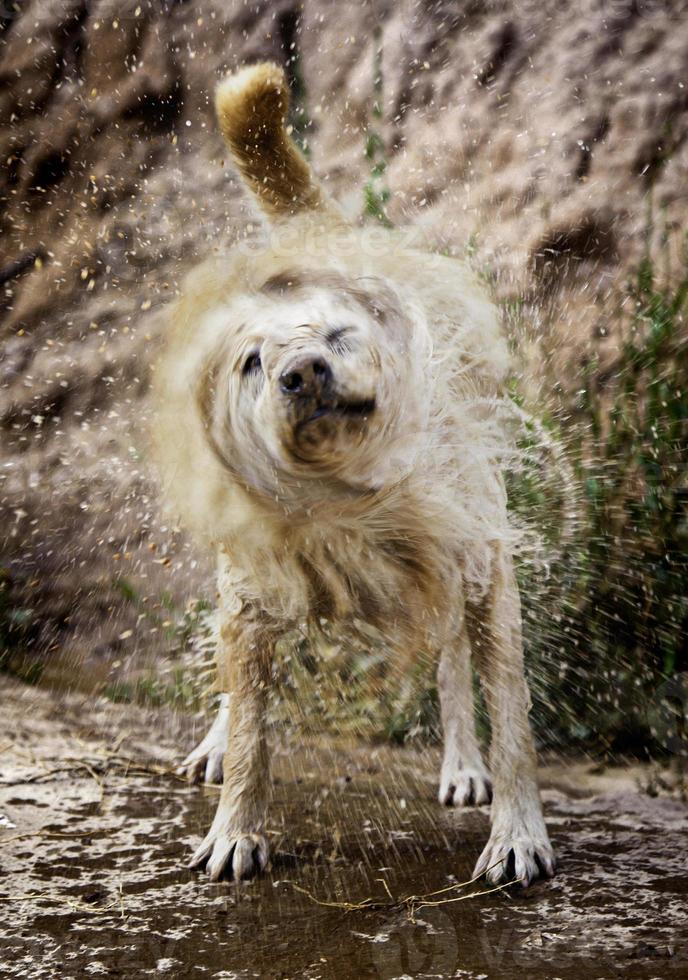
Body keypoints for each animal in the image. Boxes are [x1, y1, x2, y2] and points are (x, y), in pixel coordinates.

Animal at [153, 61, 556, 888]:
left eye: (339, 333)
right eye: (250, 361)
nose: (303, 372)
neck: (349, 497)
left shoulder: (481, 563)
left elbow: (509, 714)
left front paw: (518, 834)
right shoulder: (254, 588)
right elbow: (254, 728)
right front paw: (236, 828)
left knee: (453, 667)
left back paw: (463, 766)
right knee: (238, 680)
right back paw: (216, 740)